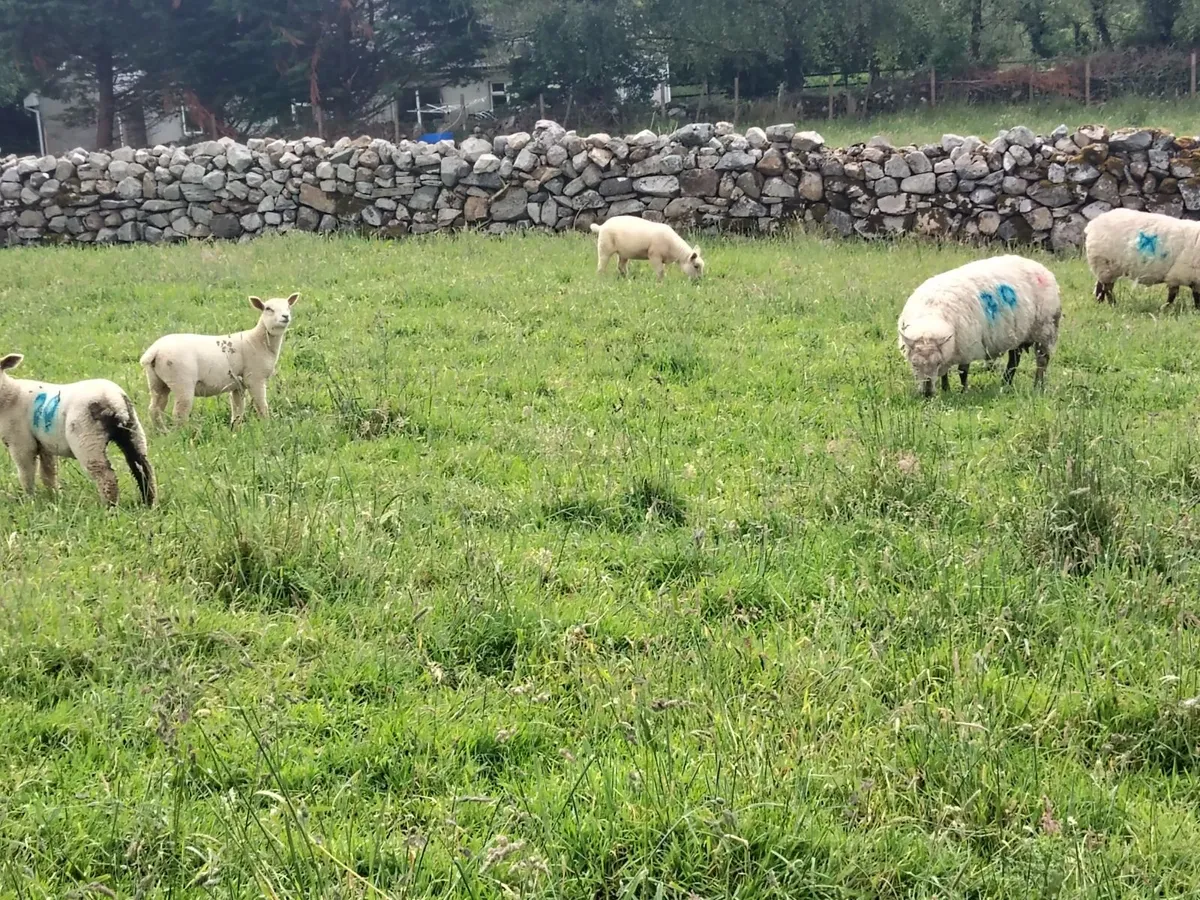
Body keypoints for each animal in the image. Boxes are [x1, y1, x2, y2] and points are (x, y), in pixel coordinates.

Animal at [0, 353, 156, 506]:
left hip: (87, 438)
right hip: (132, 431)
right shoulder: (44, 444)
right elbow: (48, 473)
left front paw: (30, 500)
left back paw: (109, 507)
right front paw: (54, 497)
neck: (10, 395)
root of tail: (114, 401)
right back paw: (148, 503)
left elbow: (26, 474)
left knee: (105, 475)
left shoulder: (21, 444)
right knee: (142, 467)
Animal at [140, 293, 298, 428]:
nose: (286, 316)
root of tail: (155, 350)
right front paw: (266, 426)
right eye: (268, 309)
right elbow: (261, 406)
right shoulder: (255, 378)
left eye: (288, 306)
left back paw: (162, 432)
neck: (258, 341)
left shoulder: (238, 385)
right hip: (181, 381)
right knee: (179, 413)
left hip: (157, 381)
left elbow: (237, 409)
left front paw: (236, 429)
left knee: (155, 409)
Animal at [897, 255, 1062, 398]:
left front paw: (963, 392)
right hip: (1019, 333)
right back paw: (1005, 384)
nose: (927, 393)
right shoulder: (952, 348)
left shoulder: (967, 345)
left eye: (937, 363)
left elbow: (962, 371)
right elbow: (946, 373)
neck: (931, 315)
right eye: (914, 364)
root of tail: (1041, 267)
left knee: (1042, 361)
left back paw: (1037, 386)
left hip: (1045, 329)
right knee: (1014, 360)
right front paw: (946, 389)